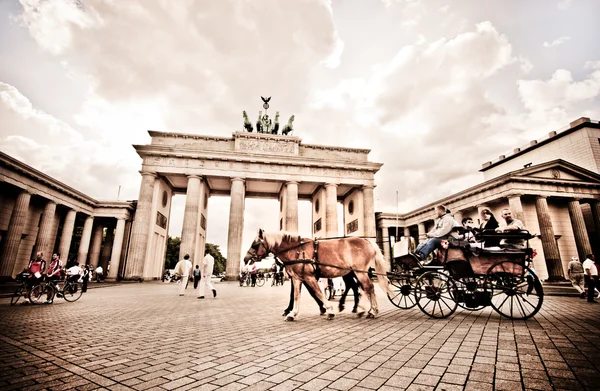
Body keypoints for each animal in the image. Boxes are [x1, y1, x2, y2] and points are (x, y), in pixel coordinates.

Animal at [244, 230, 394, 322]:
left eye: (255, 244)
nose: (245, 259)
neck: (296, 250)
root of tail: (367, 241)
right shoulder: (297, 279)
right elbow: (296, 296)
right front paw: (292, 313)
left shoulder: (309, 277)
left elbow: (318, 293)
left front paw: (329, 310)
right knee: (362, 288)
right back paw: (364, 309)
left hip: (360, 272)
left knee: (368, 288)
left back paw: (371, 311)